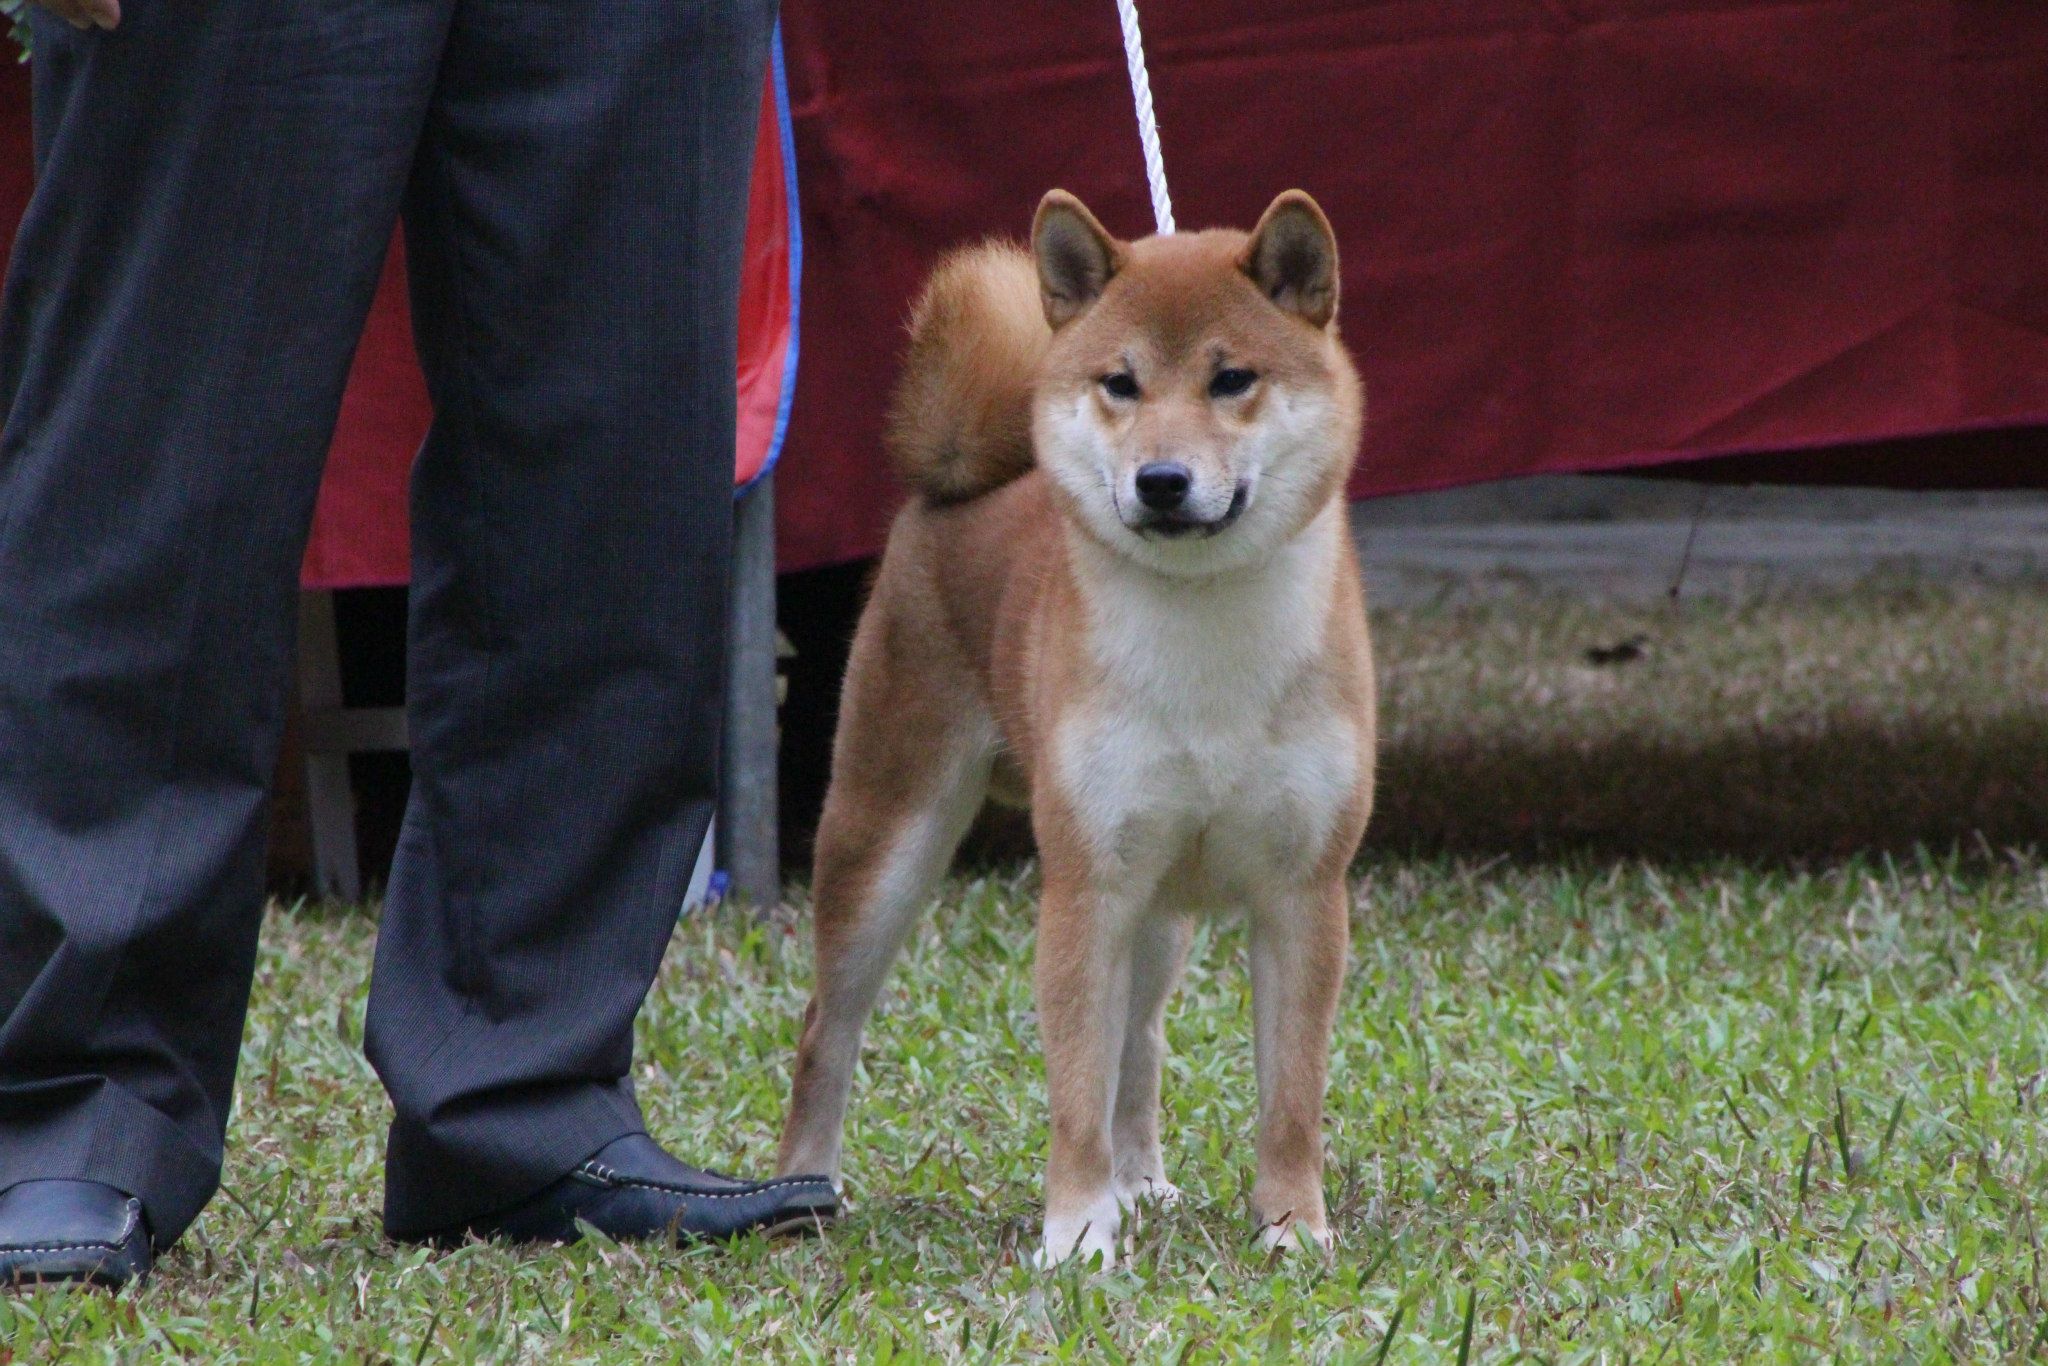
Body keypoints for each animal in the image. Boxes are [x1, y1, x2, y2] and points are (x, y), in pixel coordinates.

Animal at [774, 189, 1384, 1269]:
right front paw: (1075, 1236)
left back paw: (1141, 1181)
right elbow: (1071, 1089)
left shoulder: (1302, 891)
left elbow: (1290, 1099)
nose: (1161, 479)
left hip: (1158, 909)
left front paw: (1289, 1229)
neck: (1204, 633)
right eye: (1120, 384)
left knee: (1139, 1045)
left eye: (1232, 379)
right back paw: (807, 1188)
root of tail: (956, 485)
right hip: (885, 842)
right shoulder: (1086, 885)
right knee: (826, 1029)